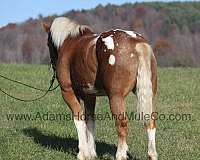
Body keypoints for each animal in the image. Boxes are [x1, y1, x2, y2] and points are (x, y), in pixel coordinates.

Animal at [42, 16, 158, 159]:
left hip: (115, 97)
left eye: (48, 44)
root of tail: (135, 41)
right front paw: (92, 152)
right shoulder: (89, 96)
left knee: (122, 123)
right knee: (150, 121)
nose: (52, 65)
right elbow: (90, 121)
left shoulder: (68, 92)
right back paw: (152, 154)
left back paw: (120, 154)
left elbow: (79, 120)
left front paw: (83, 153)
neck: (70, 43)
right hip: (148, 95)